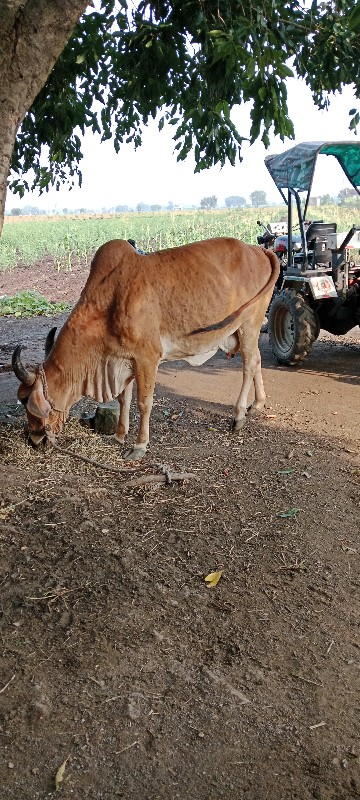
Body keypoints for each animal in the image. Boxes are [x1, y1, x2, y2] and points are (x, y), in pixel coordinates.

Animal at [11, 238, 278, 460]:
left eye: (24, 399)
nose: (33, 438)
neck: (108, 301)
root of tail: (259, 250)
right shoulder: (123, 360)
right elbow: (123, 399)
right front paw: (119, 435)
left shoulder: (147, 358)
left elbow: (143, 402)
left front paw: (139, 446)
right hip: (245, 330)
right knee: (257, 360)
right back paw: (259, 403)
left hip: (249, 324)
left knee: (249, 365)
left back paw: (239, 416)